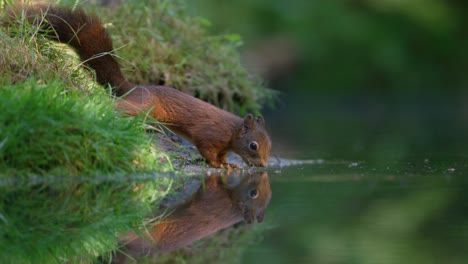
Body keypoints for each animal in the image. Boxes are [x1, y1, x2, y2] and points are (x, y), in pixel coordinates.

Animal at [14, 4, 272, 168]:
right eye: (253, 145)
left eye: (270, 144)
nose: (263, 166)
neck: (231, 131)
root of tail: (133, 89)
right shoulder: (209, 135)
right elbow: (207, 151)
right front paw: (220, 166)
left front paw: (231, 165)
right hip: (142, 106)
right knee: (117, 106)